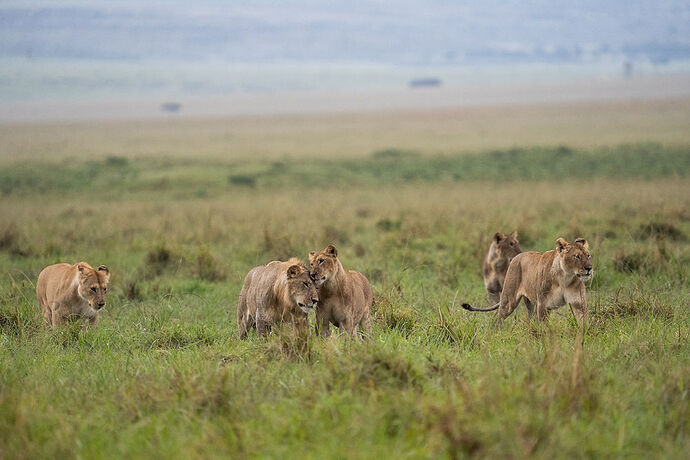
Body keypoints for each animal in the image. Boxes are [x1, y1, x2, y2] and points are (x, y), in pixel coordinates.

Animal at [460, 239, 588, 326]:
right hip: (508, 300)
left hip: (529, 302)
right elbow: (544, 326)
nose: (589, 268)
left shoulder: (578, 303)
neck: (565, 277)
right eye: (577, 256)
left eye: (588, 256)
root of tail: (517, 256)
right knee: (498, 318)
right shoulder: (543, 304)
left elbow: (583, 322)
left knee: (530, 318)